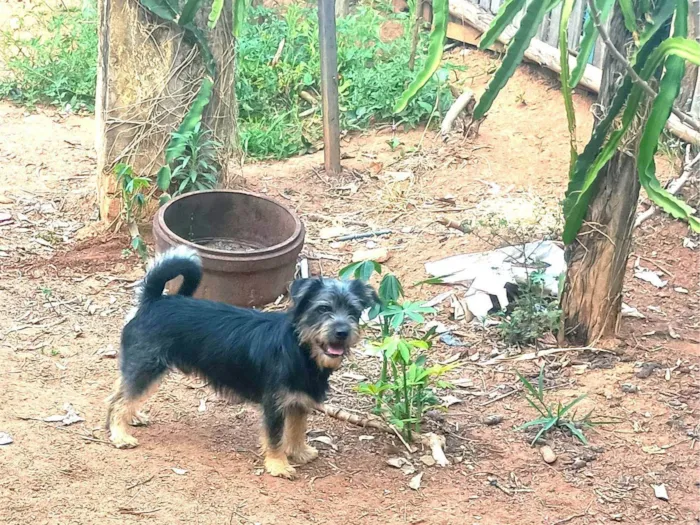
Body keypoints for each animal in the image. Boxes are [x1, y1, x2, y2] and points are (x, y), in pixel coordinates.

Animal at [105, 244, 378, 476]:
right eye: (323, 309)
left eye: (353, 311)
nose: (342, 332)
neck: (300, 349)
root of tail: (152, 300)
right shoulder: (274, 404)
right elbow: (276, 436)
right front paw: (278, 465)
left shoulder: (299, 401)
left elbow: (297, 429)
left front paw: (299, 452)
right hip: (147, 367)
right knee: (121, 401)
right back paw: (120, 434)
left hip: (142, 366)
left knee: (118, 392)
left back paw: (132, 417)